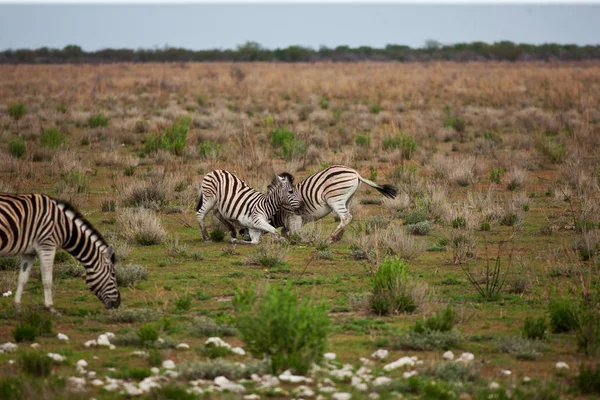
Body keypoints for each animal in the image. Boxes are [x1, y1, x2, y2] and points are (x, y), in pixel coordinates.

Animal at [258, 164, 398, 242]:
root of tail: (356, 173)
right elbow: (284, 231)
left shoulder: (294, 217)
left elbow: (292, 232)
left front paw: (296, 240)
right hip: (347, 198)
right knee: (347, 218)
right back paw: (338, 237)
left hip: (334, 199)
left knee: (346, 217)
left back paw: (331, 238)